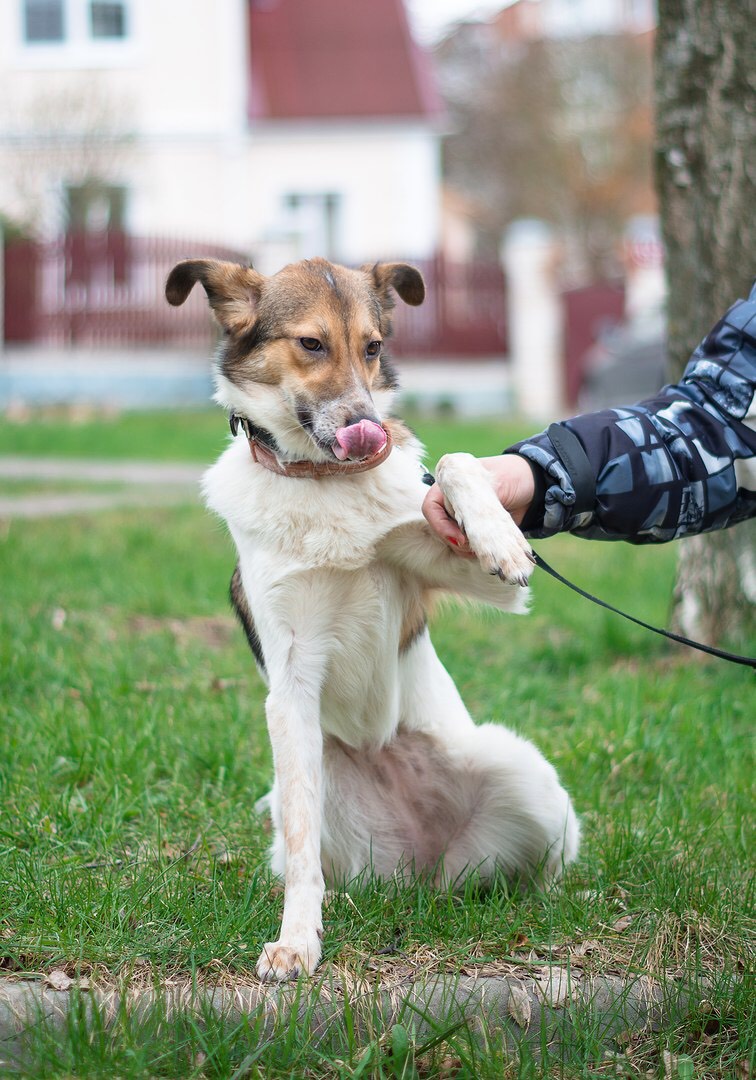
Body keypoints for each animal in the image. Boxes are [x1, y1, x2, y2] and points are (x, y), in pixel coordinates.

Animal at [165, 257, 578, 984]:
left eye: (373, 347)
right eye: (311, 344)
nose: (367, 427)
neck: (323, 481)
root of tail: (420, 873)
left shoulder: (451, 562)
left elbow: (454, 466)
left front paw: (501, 537)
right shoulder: (291, 679)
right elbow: (303, 858)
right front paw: (296, 943)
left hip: (525, 774)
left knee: (544, 863)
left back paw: (544, 904)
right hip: (296, 789)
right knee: (307, 850)